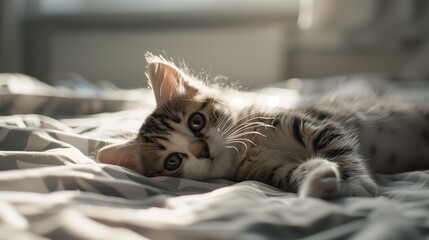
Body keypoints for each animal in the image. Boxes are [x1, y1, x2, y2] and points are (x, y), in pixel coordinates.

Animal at [97, 52, 428, 199]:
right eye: (172, 161)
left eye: (196, 121)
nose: (202, 150)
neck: (252, 149)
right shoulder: (271, 171)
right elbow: (295, 173)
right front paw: (319, 179)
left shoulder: (312, 122)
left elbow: (337, 146)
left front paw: (355, 181)